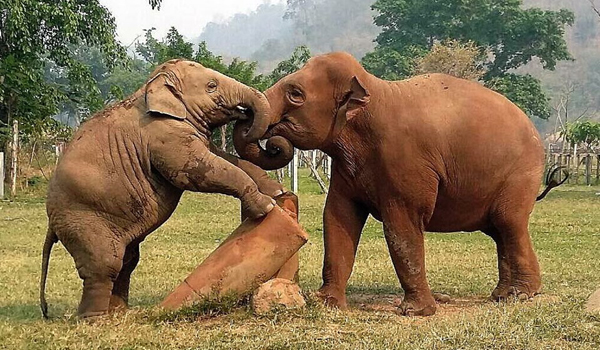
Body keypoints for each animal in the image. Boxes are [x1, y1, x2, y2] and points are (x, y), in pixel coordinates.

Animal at [40, 59, 284, 318]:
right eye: (211, 86)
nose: (246, 116)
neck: (149, 87)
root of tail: (51, 222)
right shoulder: (164, 136)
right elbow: (199, 170)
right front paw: (267, 207)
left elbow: (222, 158)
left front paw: (276, 191)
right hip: (83, 221)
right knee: (104, 265)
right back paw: (95, 319)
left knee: (126, 260)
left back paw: (119, 312)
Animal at [236, 52, 568, 318]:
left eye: (295, 94)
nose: (274, 143)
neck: (375, 90)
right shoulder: (345, 168)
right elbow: (338, 219)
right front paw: (328, 304)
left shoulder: (407, 162)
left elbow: (401, 227)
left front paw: (415, 312)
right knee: (499, 231)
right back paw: (502, 295)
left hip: (521, 175)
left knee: (509, 223)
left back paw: (521, 296)